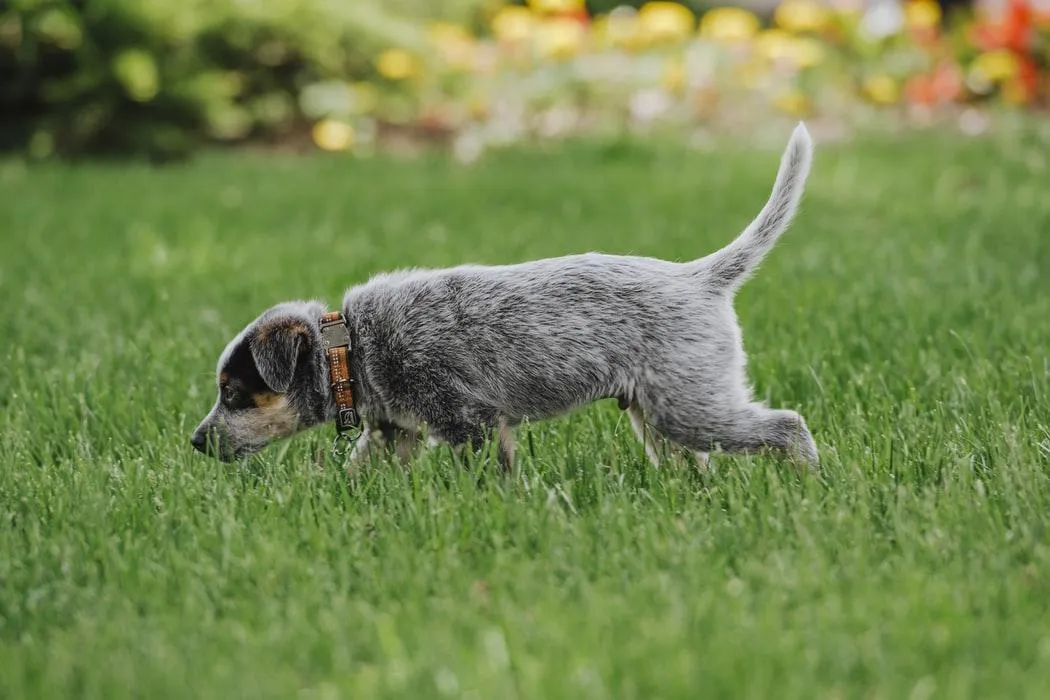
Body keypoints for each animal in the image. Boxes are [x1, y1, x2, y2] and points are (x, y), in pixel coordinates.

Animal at [191, 124, 818, 470]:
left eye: (235, 394)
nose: (195, 442)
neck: (351, 348)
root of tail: (698, 276)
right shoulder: (394, 431)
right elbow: (357, 470)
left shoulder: (469, 420)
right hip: (659, 413)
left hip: (689, 405)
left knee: (786, 424)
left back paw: (808, 479)